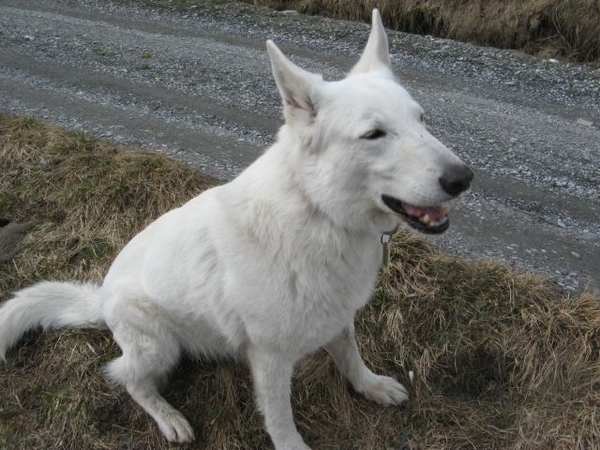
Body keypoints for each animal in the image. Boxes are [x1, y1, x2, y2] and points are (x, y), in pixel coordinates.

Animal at [0, 11, 472, 450]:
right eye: (374, 134)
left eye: (422, 120)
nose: (463, 178)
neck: (318, 211)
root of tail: (101, 297)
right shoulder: (270, 358)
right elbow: (280, 419)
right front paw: (293, 445)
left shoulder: (338, 318)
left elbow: (351, 359)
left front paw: (370, 386)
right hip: (159, 345)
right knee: (128, 378)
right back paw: (168, 417)